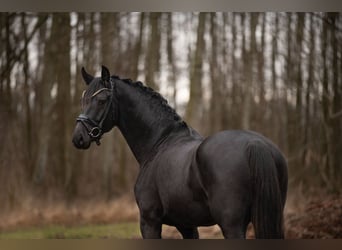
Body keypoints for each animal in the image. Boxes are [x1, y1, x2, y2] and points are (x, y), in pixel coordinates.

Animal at [73, 66, 288, 238]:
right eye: (83, 99)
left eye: (102, 100)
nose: (78, 138)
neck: (160, 142)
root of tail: (255, 144)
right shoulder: (187, 225)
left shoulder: (149, 221)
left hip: (232, 225)